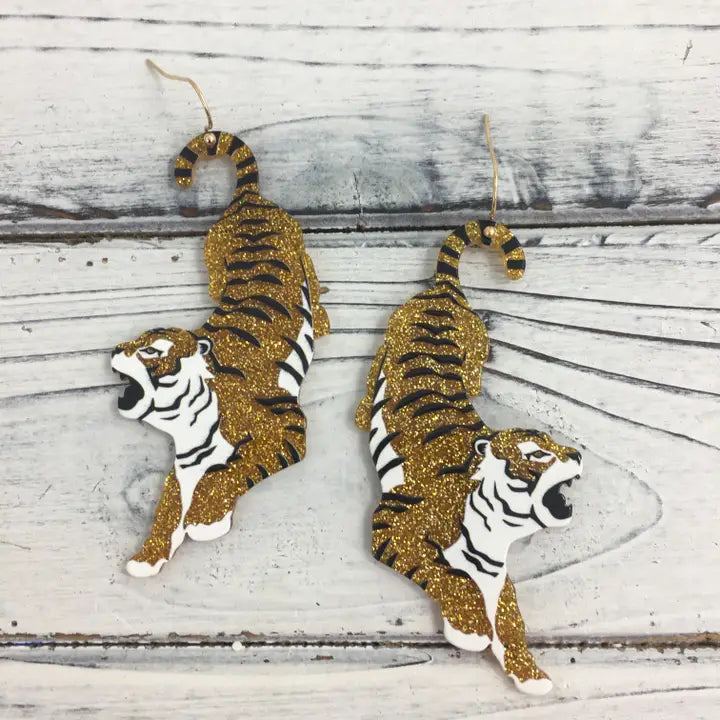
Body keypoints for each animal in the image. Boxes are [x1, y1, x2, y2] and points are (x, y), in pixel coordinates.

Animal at [111, 131, 330, 578]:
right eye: (129, 343)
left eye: (150, 350)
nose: (114, 351)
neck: (183, 419)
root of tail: (248, 199)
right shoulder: (184, 466)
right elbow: (167, 509)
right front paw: (148, 557)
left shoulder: (286, 425)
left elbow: (232, 470)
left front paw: (204, 518)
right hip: (213, 257)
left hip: (299, 249)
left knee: (313, 285)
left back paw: (324, 320)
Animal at [355, 220, 583, 695]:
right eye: (538, 453)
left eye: (559, 445)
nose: (575, 453)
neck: (498, 526)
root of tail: (445, 290)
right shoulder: (393, 521)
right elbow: (448, 575)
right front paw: (472, 627)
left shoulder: (495, 573)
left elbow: (511, 621)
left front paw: (529, 674)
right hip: (392, 331)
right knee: (373, 371)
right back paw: (359, 412)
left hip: (477, 344)